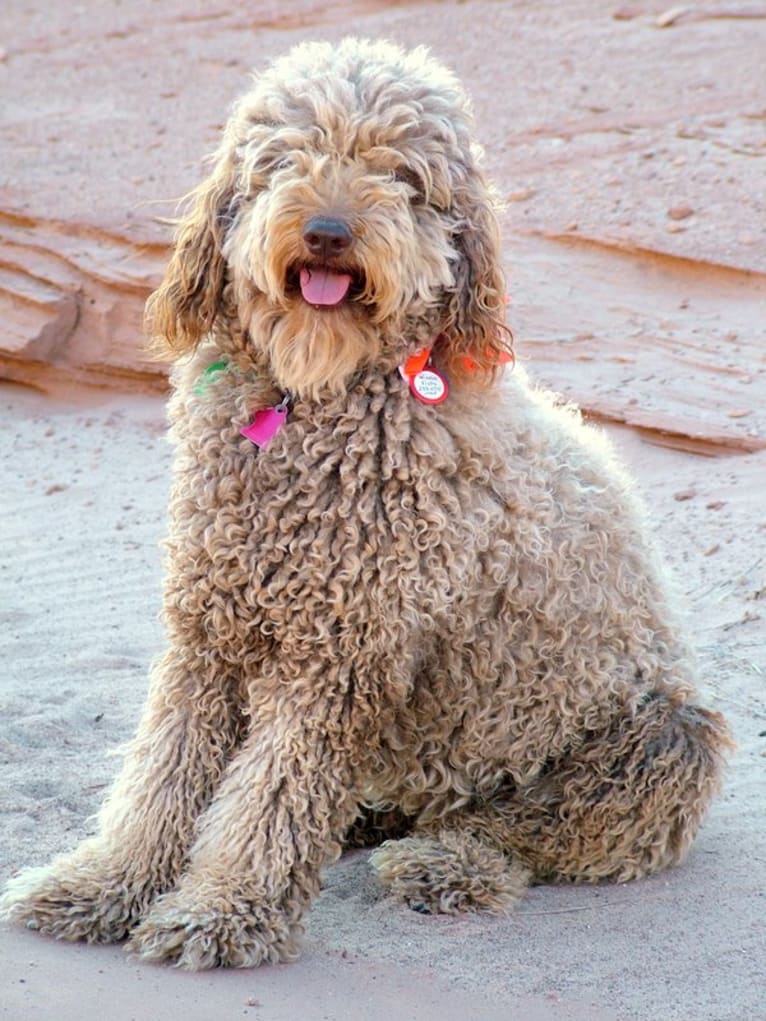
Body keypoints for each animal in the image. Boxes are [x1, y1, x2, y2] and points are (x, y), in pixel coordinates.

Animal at [0, 35, 731, 967]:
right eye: (289, 154)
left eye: (402, 173)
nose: (328, 231)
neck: (315, 397)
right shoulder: (209, 628)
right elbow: (162, 776)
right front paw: (103, 885)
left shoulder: (341, 653)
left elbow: (271, 797)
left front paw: (223, 909)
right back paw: (370, 819)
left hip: (660, 739)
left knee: (528, 831)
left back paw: (443, 863)